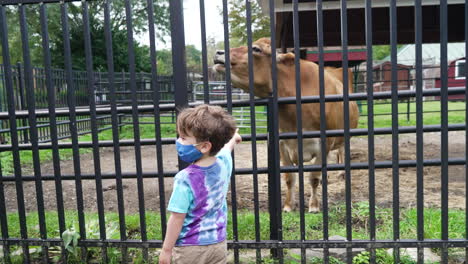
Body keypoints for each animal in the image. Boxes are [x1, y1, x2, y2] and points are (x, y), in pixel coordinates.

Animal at [214, 37, 360, 212]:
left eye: (256, 49)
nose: (218, 52)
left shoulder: (325, 143)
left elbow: (314, 177)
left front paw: (314, 206)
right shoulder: (282, 144)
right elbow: (290, 177)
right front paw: (288, 205)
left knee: (342, 151)